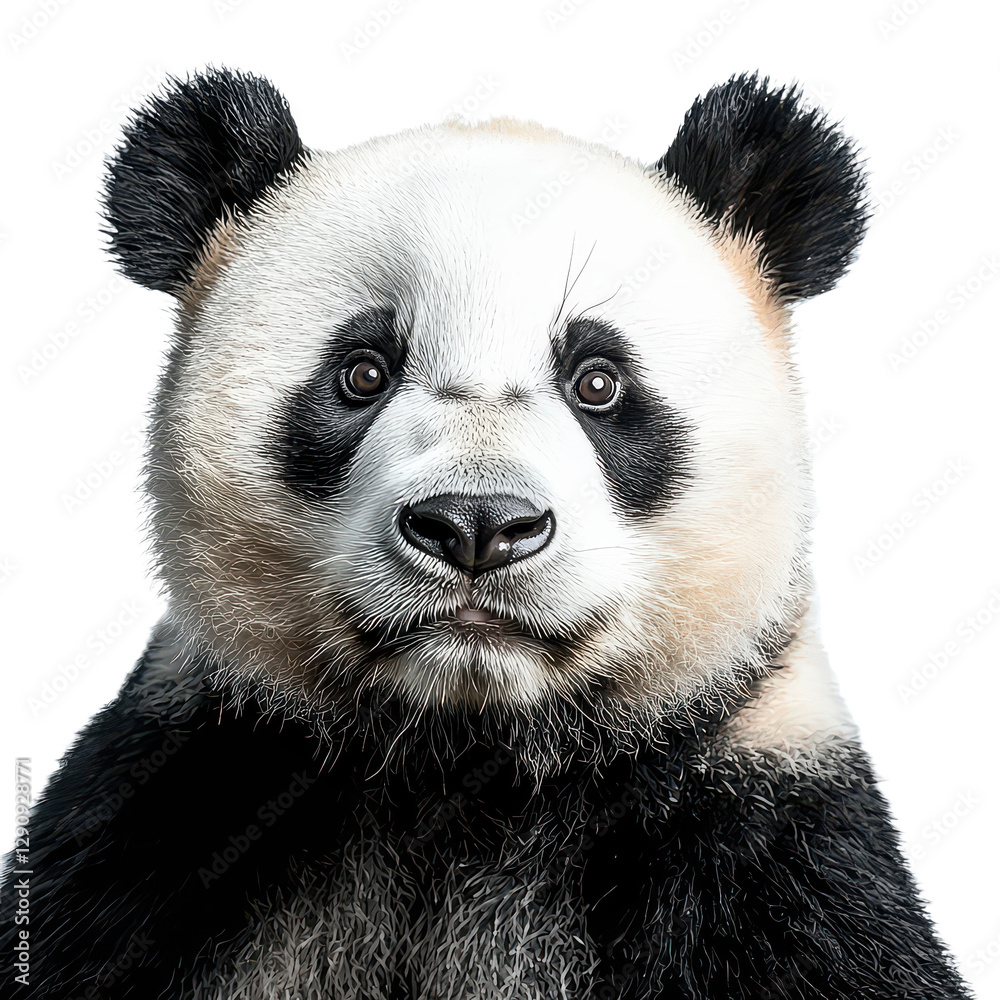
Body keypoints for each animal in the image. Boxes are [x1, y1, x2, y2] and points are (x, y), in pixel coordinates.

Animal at [0, 68, 970, 999]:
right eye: (361, 373)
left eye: (598, 382)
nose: (476, 525)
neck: (462, 756)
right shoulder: (174, 804)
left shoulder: (761, 834)